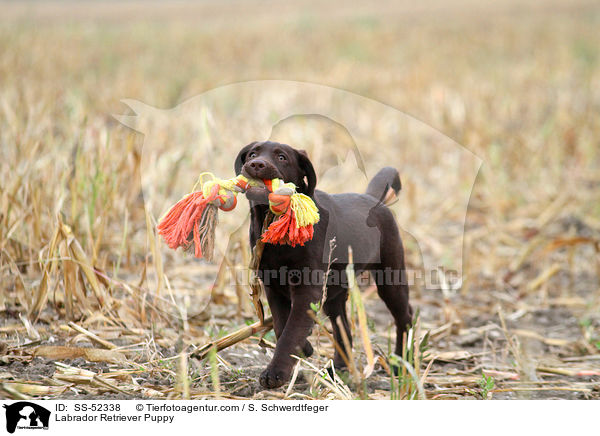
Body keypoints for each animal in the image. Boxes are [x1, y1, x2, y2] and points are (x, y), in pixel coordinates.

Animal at [234, 141, 412, 388]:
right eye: (252, 154)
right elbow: (281, 324)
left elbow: (291, 330)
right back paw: (339, 370)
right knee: (343, 328)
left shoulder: (307, 289)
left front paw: (276, 372)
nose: (256, 164)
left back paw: (400, 363)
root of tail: (373, 199)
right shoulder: (273, 286)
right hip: (335, 293)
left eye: (282, 157)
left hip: (390, 275)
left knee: (404, 316)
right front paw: (304, 349)